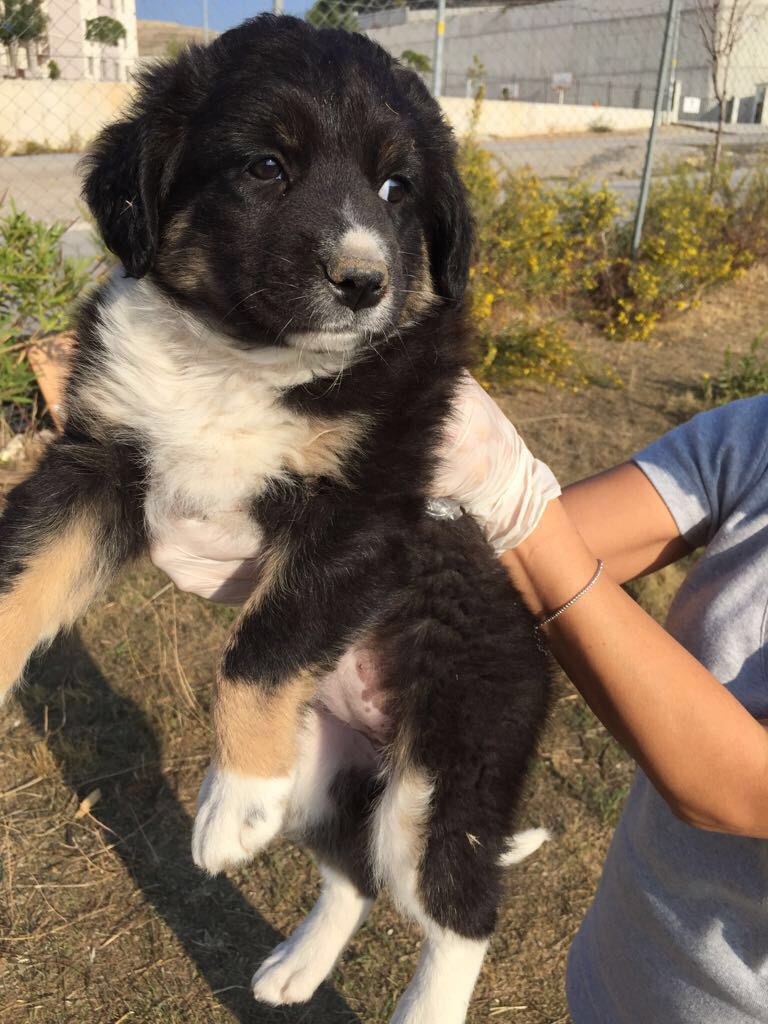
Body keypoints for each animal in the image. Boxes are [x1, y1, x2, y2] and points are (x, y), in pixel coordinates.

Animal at [0, 16, 551, 1022]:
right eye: (265, 167)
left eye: (397, 188)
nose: (363, 282)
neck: (240, 358)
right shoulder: (100, 459)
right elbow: (29, 573)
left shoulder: (363, 512)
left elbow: (263, 642)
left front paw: (232, 804)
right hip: (326, 770)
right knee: (353, 873)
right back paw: (295, 966)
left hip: (443, 772)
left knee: (460, 908)